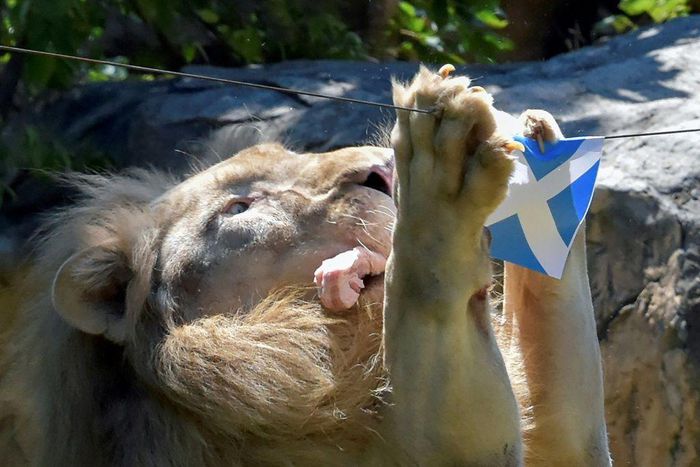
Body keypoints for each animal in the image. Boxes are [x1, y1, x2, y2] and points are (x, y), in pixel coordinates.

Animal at [0, 67, 610, 466]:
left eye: (294, 156)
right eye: (238, 208)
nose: (382, 172)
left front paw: (543, 150)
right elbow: (432, 294)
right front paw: (441, 166)